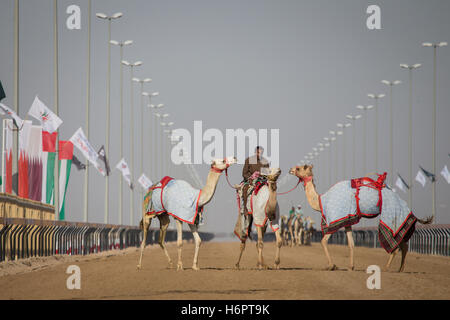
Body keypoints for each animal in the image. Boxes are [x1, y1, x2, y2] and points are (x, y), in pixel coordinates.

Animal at [290, 165, 434, 272]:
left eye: (299, 168)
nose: (290, 170)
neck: (321, 201)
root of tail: (411, 211)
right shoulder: (348, 220)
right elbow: (351, 243)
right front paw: (351, 267)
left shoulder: (336, 219)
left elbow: (323, 241)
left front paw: (332, 266)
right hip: (399, 221)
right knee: (403, 244)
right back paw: (400, 269)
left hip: (391, 215)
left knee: (395, 245)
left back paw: (386, 268)